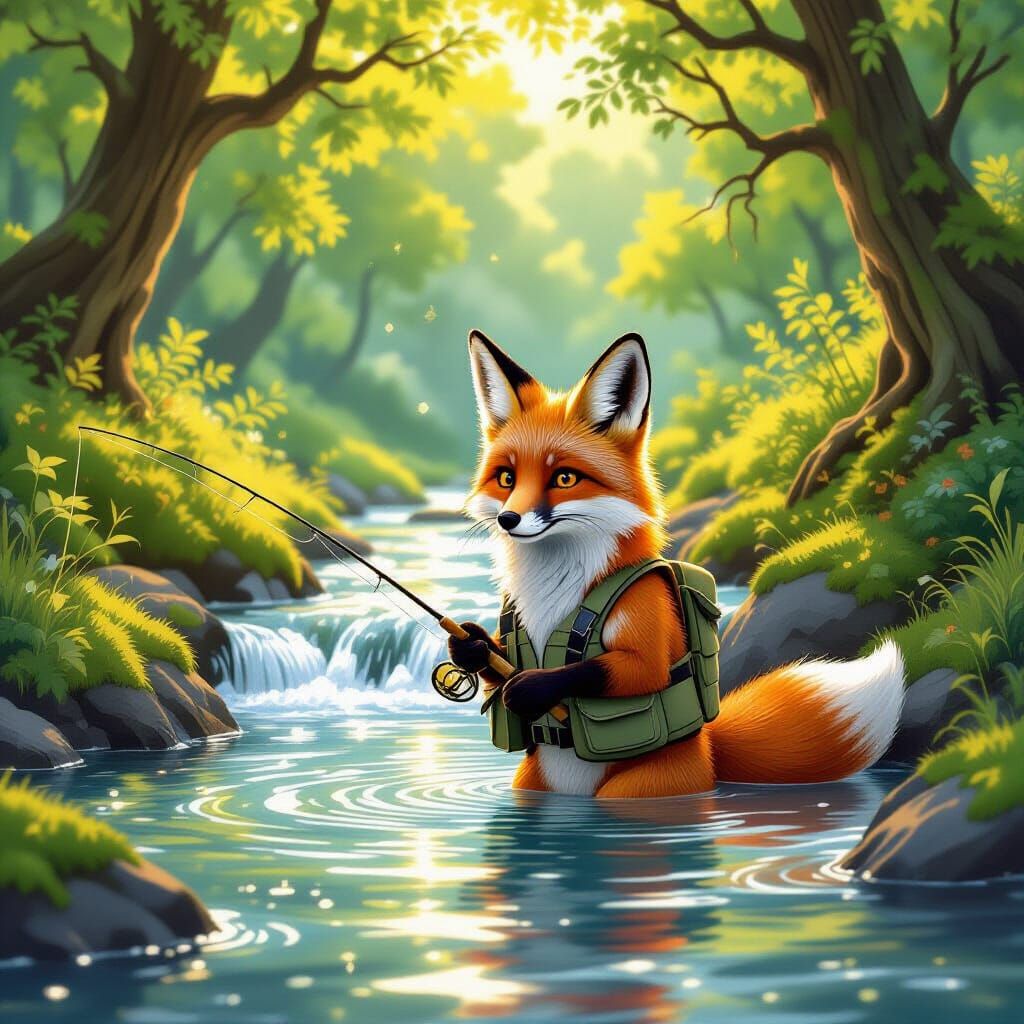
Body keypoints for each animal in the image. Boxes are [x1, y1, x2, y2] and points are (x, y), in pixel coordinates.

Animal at [449, 329, 905, 799]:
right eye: (507, 479)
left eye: (565, 478)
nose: (508, 519)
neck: (553, 588)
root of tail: (710, 751)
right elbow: (499, 658)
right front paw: (471, 646)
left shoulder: (644, 606)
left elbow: (633, 669)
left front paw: (532, 686)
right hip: (532, 784)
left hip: (636, 790)